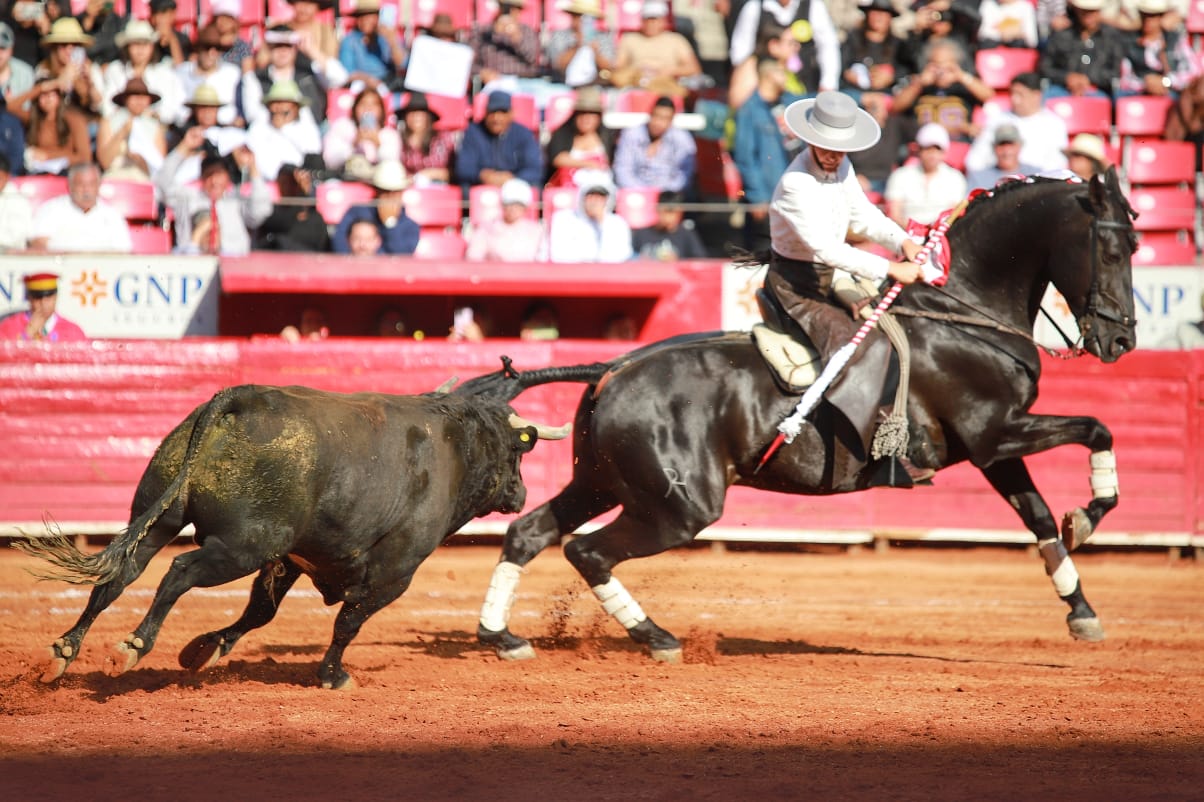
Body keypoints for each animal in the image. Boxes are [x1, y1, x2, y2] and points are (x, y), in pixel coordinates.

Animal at [17, 383, 569, 689]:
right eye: (516, 452)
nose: (521, 493)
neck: (456, 445)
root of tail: (242, 397)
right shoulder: (395, 573)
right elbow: (349, 621)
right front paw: (332, 675)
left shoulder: (292, 559)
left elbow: (260, 612)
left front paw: (206, 649)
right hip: (242, 545)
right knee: (179, 572)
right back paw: (133, 644)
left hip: (161, 518)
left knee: (121, 575)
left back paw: (64, 652)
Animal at [463, 170, 1138, 663]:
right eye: (1109, 249)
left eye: (1135, 246)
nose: (1121, 342)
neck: (962, 315)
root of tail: (611, 368)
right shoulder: (995, 433)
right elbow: (1096, 427)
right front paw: (1091, 514)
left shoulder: (992, 451)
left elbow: (1039, 515)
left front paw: (1081, 610)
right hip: (679, 507)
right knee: (588, 552)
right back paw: (657, 638)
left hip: (601, 481)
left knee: (529, 533)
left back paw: (502, 636)